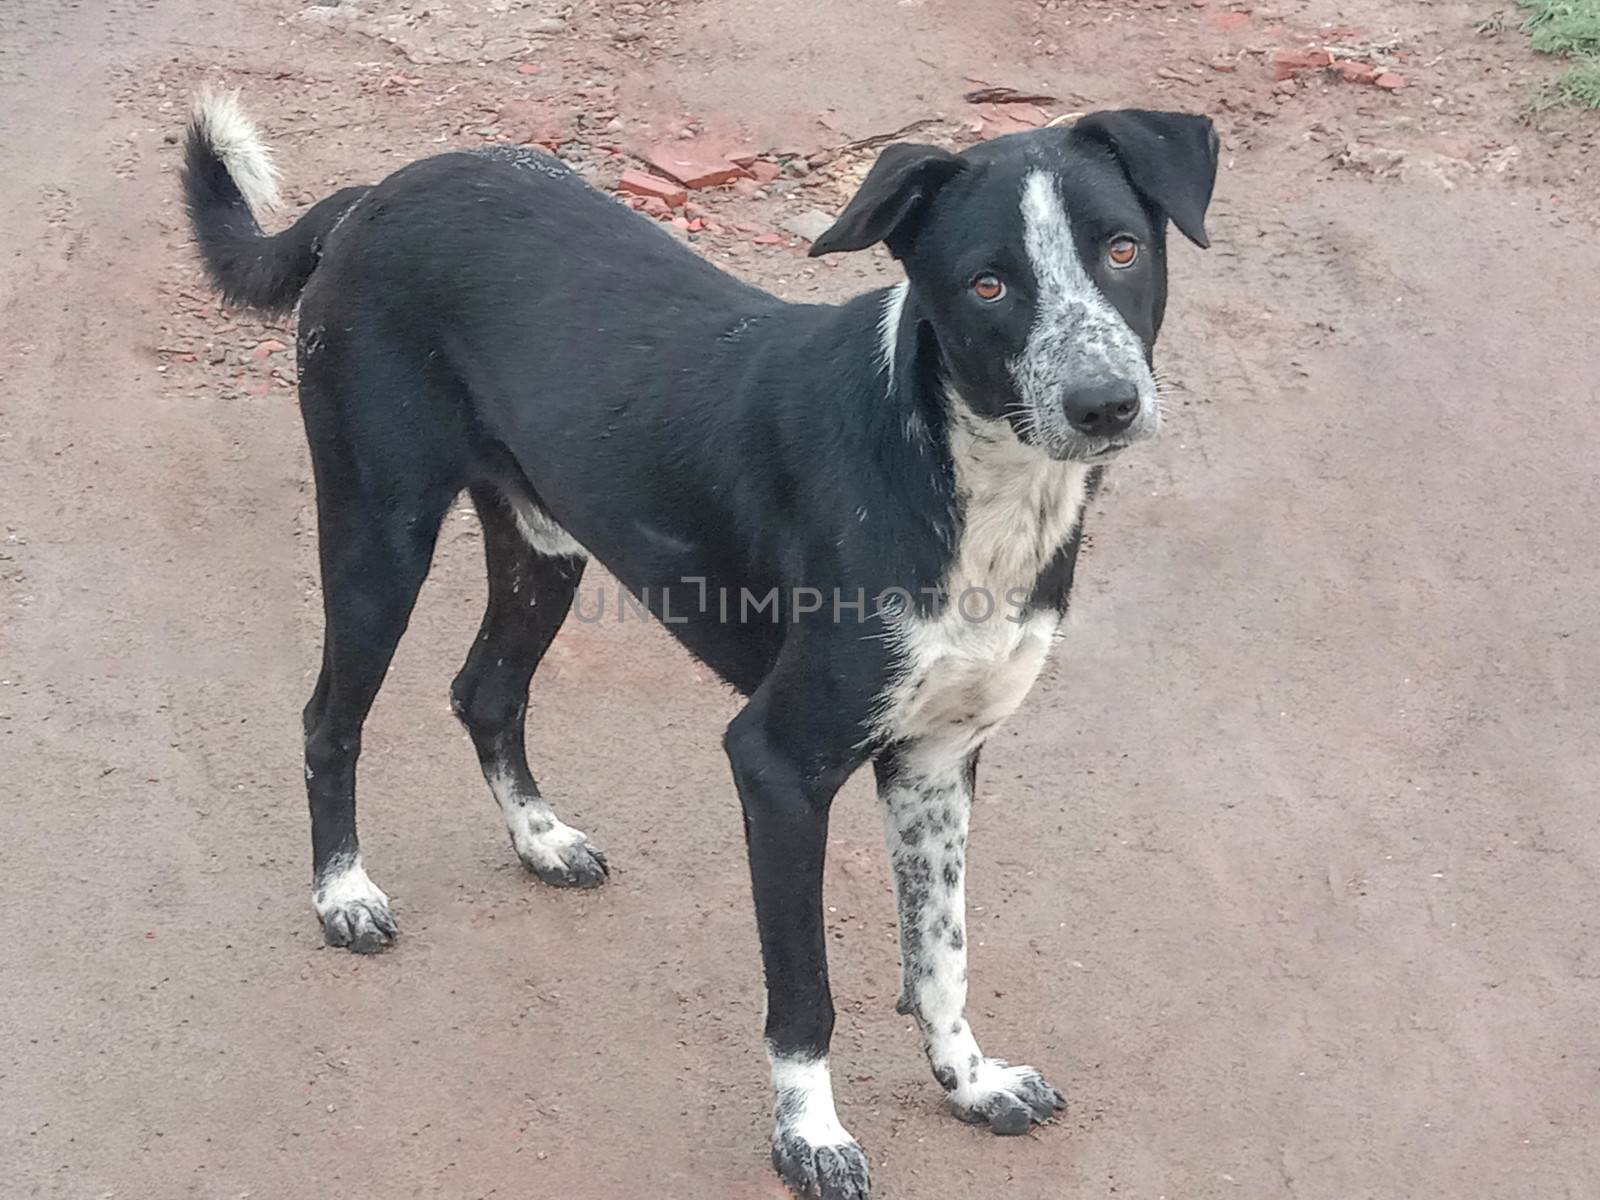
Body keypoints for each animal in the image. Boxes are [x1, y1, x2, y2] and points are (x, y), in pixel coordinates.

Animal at [181, 91, 1216, 1200]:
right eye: (988, 282)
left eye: (1120, 248)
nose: (1103, 404)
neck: (961, 473)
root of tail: (377, 191)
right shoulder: (778, 767)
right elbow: (805, 994)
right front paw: (809, 1138)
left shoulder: (938, 759)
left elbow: (940, 952)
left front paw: (969, 1082)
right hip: (379, 534)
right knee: (329, 720)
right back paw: (342, 893)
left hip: (544, 545)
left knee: (484, 691)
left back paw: (539, 839)